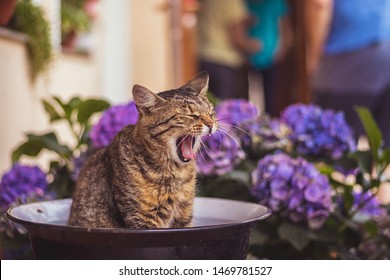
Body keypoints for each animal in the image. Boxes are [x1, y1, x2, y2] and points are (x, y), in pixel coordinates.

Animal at [68, 71, 218, 229]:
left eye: (211, 112)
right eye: (191, 115)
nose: (211, 124)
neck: (176, 173)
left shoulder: (184, 216)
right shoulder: (142, 218)